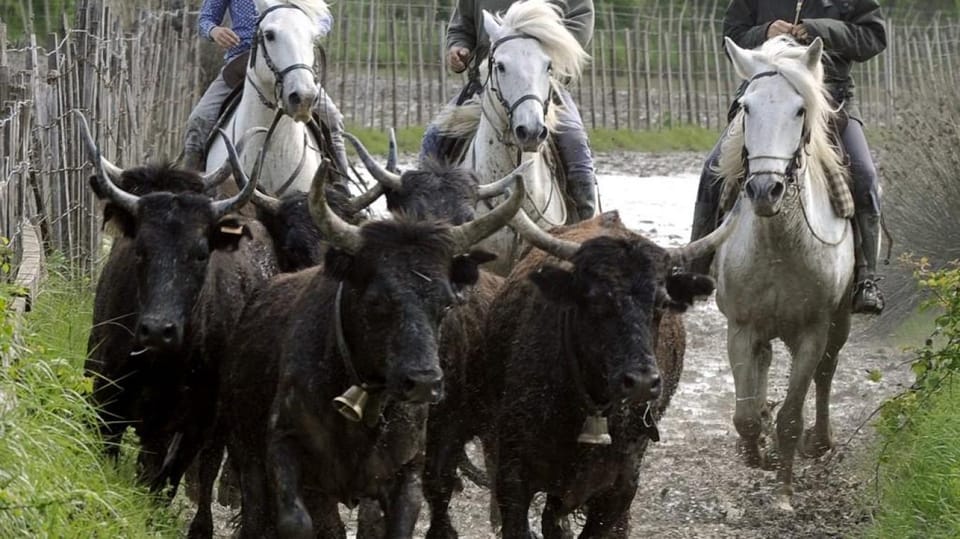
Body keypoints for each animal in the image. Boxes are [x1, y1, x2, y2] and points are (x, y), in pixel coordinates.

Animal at [712, 35, 856, 512]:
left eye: (799, 110)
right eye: (745, 108)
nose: (763, 189)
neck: (779, 244)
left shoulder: (813, 330)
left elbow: (792, 417)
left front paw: (785, 490)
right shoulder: (741, 327)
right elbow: (744, 417)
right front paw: (756, 452)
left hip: (839, 322)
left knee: (827, 373)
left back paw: (821, 441)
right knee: (764, 364)